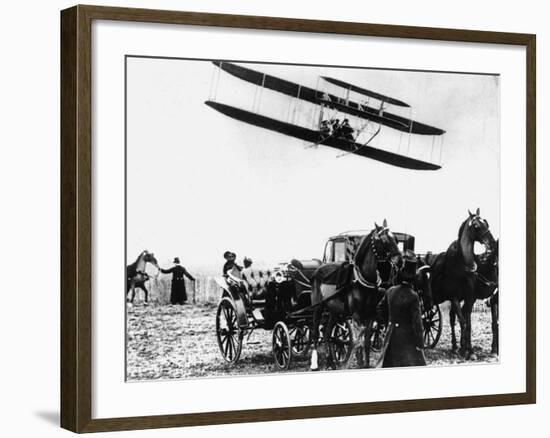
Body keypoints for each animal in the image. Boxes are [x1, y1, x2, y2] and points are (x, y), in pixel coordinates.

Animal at [310, 221, 402, 372]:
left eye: (395, 238)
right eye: (383, 240)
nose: (400, 261)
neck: (363, 280)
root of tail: (318, 269)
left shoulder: (370, 315)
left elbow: (366, 341)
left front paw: (365, 364)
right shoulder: (356, 316)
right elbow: (357, 341)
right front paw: (358, 364)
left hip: (334, 311)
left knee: (328, 334)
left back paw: (331, 363)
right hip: (318, 307)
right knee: (316, 334)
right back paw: (315, 364)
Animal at [424, 209, 498, 360]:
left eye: (486, 222)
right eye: (476, 226)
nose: (492, 243)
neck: (462, 266)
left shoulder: (470, 298)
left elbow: (469, 323)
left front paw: (469, 350)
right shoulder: (455, 298)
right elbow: (464, 322)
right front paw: (466, 350)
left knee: (451, 318)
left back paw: (454, 347)